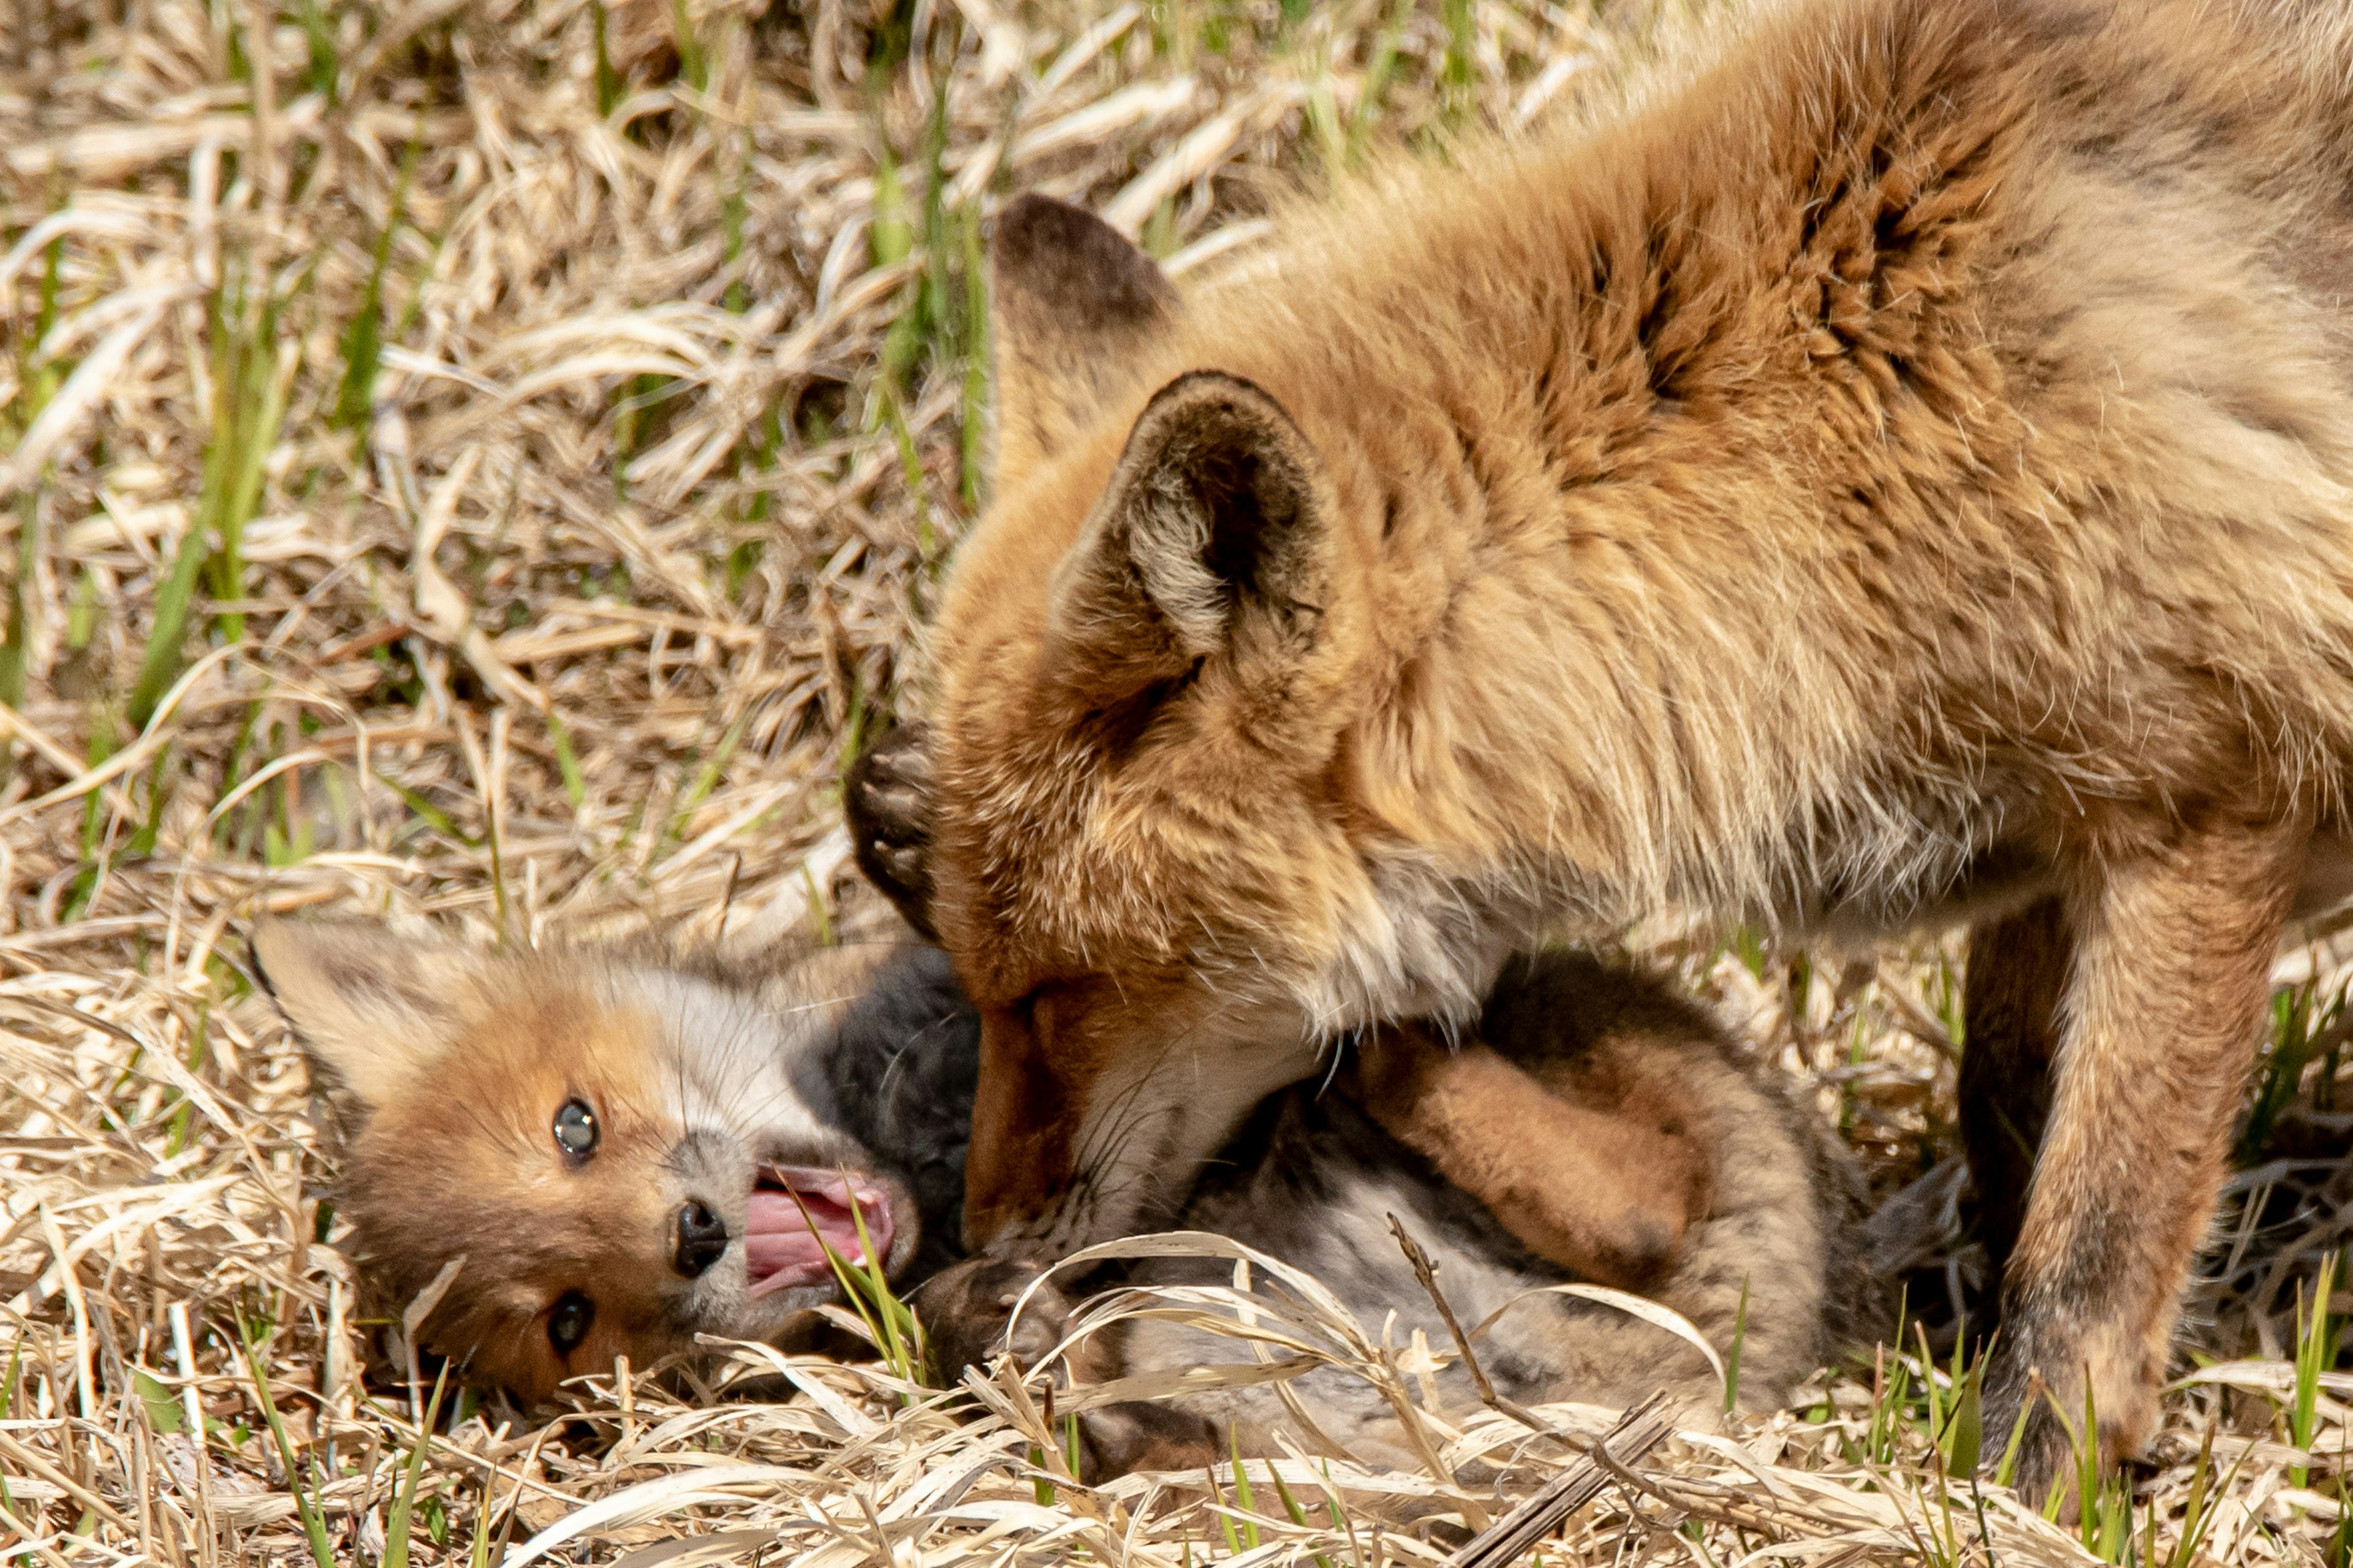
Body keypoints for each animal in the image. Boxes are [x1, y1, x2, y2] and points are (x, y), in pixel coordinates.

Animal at [252, 909, 1873, 1460]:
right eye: (575, 1319)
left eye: (575, 1123)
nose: (691, 1236)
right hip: (1302, 1387)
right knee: (1626, 1213)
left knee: (1615, 1182)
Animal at [903, 0, 2353, 1497]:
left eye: (1053, 995)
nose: (978, 1238)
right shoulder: (2076, 809)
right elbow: (2008, 1112)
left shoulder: (2208, 799)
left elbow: (2093, 1243)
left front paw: (2029, 1485)